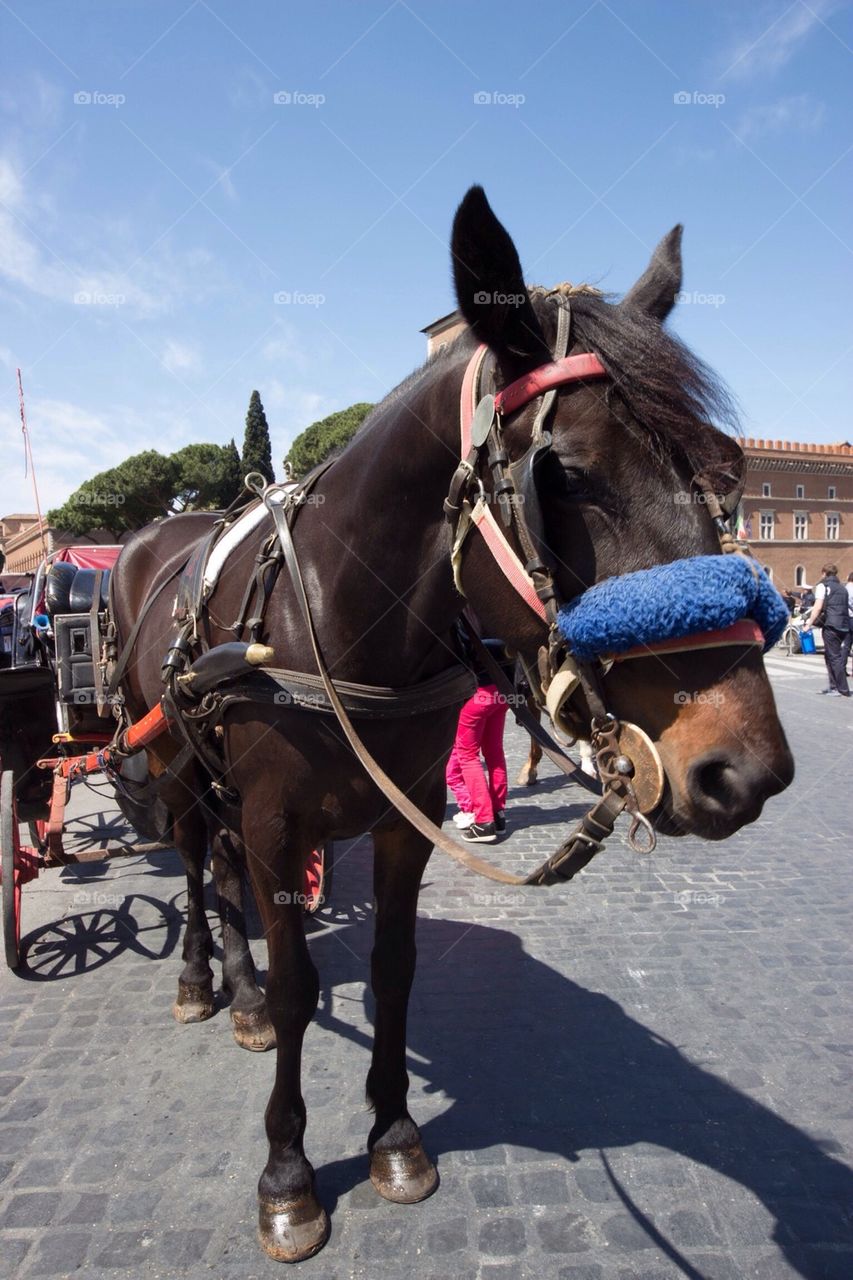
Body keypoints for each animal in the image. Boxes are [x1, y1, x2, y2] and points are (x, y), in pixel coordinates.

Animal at [108, 186, 788, 1259]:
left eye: (720, 477)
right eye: (565, 477)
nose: (743, 767)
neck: (341, 619)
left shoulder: (405, 817)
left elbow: (394, 968)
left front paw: (392, 1133)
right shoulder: (273, 820)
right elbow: (302, 985)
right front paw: (289, 1173)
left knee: (216, 868)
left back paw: (238, 988)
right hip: (170, 755)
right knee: (189, 855)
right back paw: (205, 981)